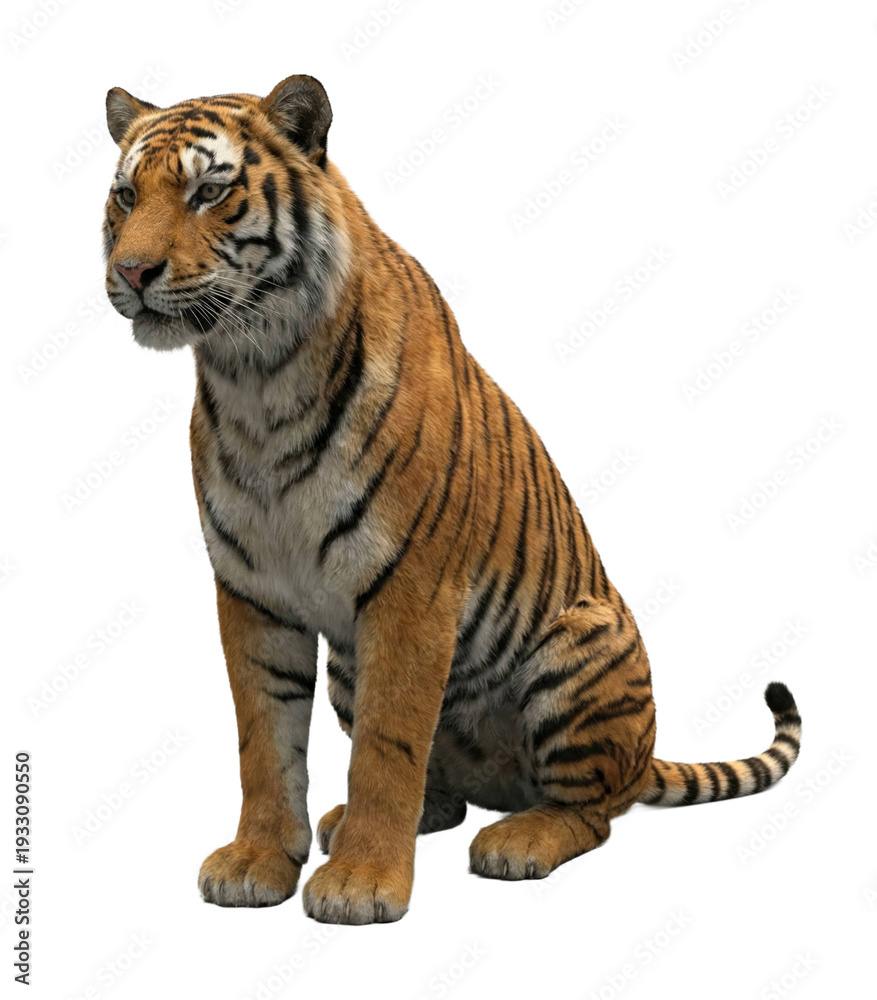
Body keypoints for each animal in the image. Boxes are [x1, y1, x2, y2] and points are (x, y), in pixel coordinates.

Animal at [102, 74, 802, 925]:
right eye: (126, 195)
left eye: (209, 191)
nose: (131, 272)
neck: (255, 376)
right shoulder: (251, 593)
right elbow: (263, 741)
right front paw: (257, 862)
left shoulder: (411, 590)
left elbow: (387, 747)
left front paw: (363, 883)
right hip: (353, 669)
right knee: (448, 793)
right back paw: (359, 820)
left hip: (577, 646)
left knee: (594, 810)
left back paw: (516, 840)